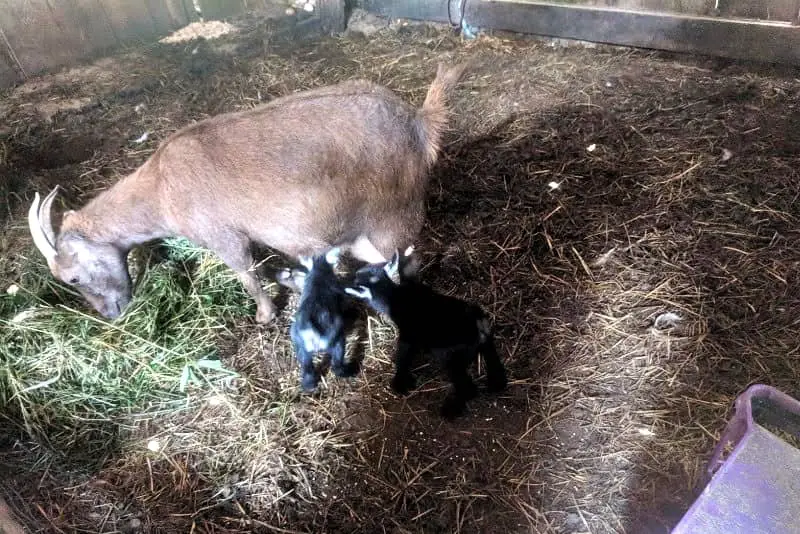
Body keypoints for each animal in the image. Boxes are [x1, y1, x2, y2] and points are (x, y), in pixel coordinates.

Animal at [26, 61, 468, 324]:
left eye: (71, 277)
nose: (111, 314)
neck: (161, 186)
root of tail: (420, 122)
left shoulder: (224, 235)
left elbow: (246, 273)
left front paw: (265, 315)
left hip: (389, 220)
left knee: (406, 266)